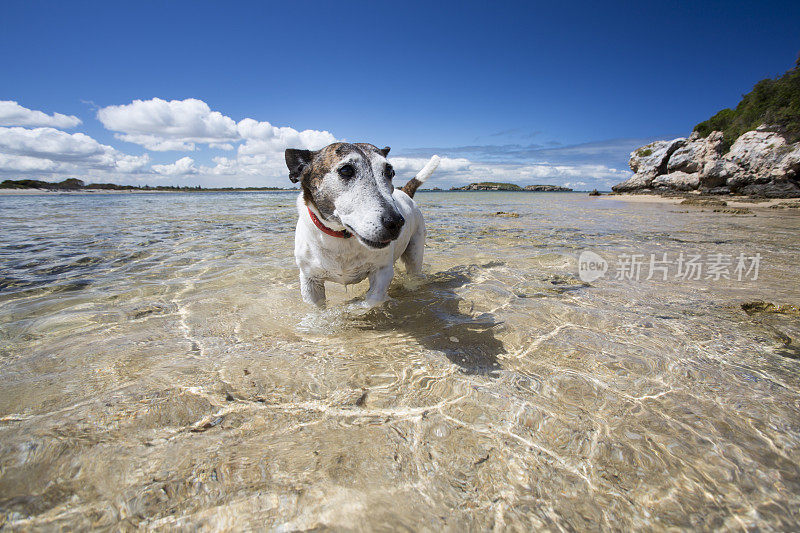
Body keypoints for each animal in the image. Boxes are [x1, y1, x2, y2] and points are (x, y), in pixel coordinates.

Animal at [286, 142, 440, 308]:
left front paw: (354, 308)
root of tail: (404, 192)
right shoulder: (310, 280)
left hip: (415, 251)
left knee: (414, 271)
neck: (341, 237)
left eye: (390, 172)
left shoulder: (382, 271)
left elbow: (371, 301)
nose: (396, 222)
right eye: (346, 170)